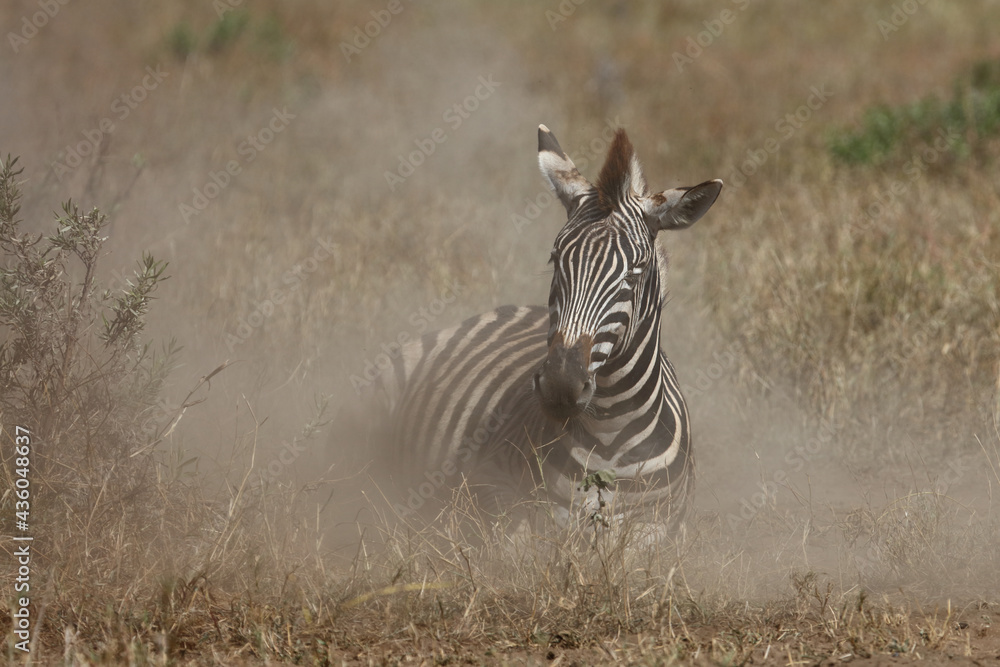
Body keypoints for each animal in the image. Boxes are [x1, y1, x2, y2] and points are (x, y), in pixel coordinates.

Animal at [374, 125, 722, 535]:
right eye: (555, 259)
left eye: (634, 274)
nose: (561, 384)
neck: (609, 437)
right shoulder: (489, 484)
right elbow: (519, 537)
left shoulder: (664, 524)